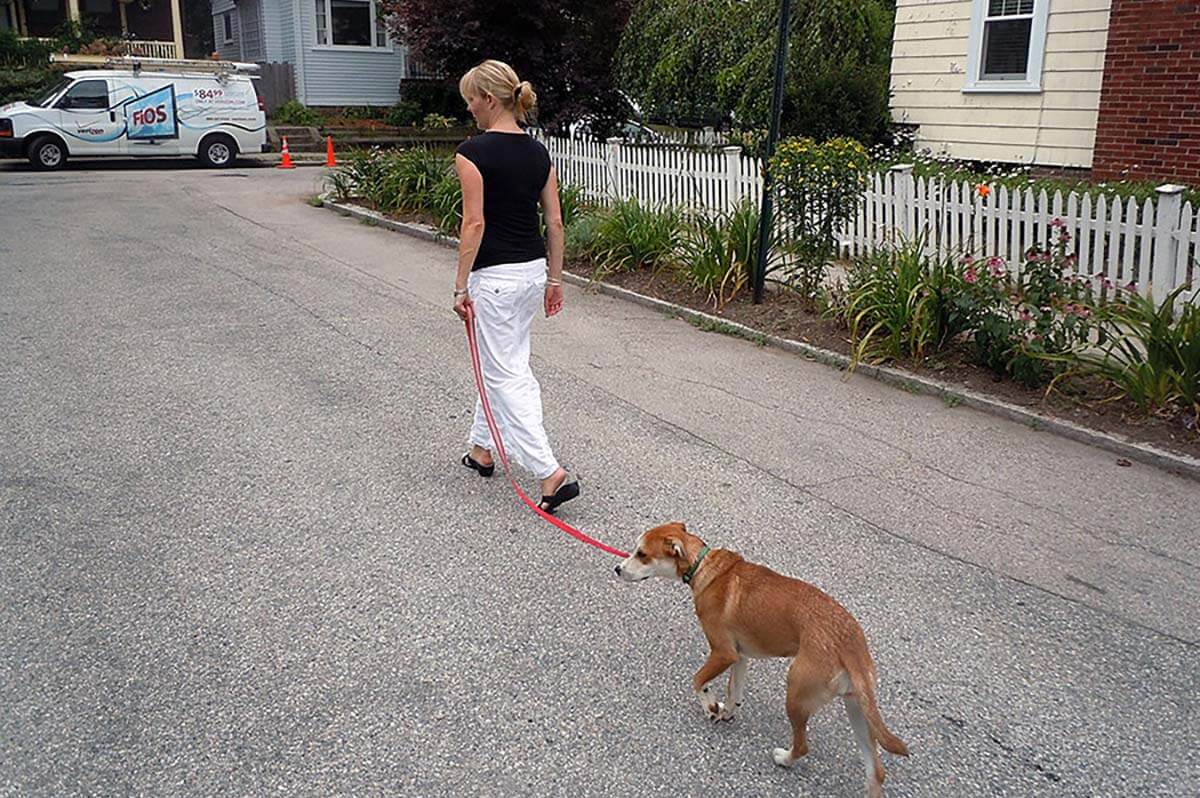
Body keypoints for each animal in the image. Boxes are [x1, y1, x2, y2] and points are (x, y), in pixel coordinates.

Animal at [619, 520, 907, 792]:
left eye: (641, 554)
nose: (617, 569)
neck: (705, 568)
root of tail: (850, 644)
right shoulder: (740, 656)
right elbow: (733, 693)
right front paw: (725, 713)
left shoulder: (723, 653)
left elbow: (698, 681)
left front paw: (710, 706)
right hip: (857, 710)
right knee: (876, 772)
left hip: (797, 693)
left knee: (802, 746)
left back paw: (784, 759)